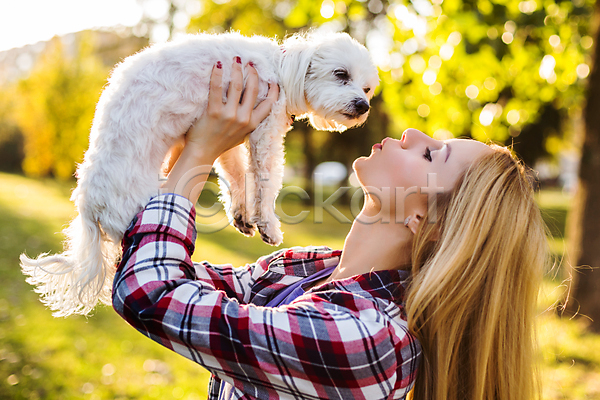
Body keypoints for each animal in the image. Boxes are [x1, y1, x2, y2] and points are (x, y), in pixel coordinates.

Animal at [19, 30, 380, 316]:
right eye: (340, 74)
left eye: (367, 89)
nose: (363, 106)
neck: (281, 67)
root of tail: (88, 206)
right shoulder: (263, 132)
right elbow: (265, 181)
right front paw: (267, 224)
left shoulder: (233, 137)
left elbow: (236, 176)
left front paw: (241, 215)